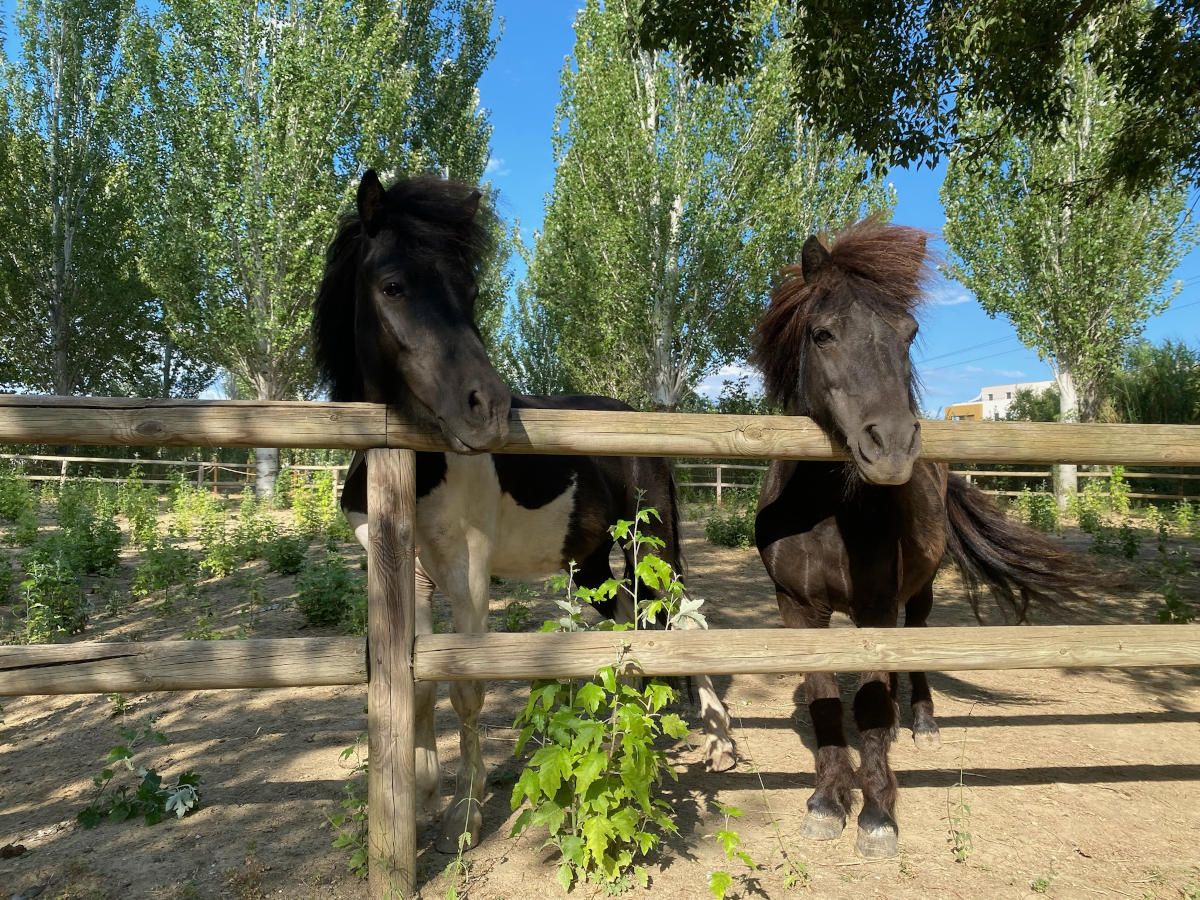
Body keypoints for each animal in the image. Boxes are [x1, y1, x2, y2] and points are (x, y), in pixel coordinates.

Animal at [314, 172, 734, 854]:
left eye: (470, 289)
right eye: (393, 285)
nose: (488, 407)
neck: (414, 463)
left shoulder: (468, 566)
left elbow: (465, 685)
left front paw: (465, 817)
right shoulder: (411, 571)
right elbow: (421, 683)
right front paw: (424, 795)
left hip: (654, 545)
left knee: (687, 619)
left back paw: (722, 742)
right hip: (591, 563)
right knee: (629, 627)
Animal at [753, 218, 1094, 859]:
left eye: (907, 334)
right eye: (822, 333)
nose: (893, 445)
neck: (823, 512)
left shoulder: (877, 608)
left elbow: (870, 706)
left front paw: (877, 814)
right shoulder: (797, 609)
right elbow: (824, 698)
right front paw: (826, 803)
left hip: (920, 594)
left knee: (915, 649)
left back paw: (924, 723)